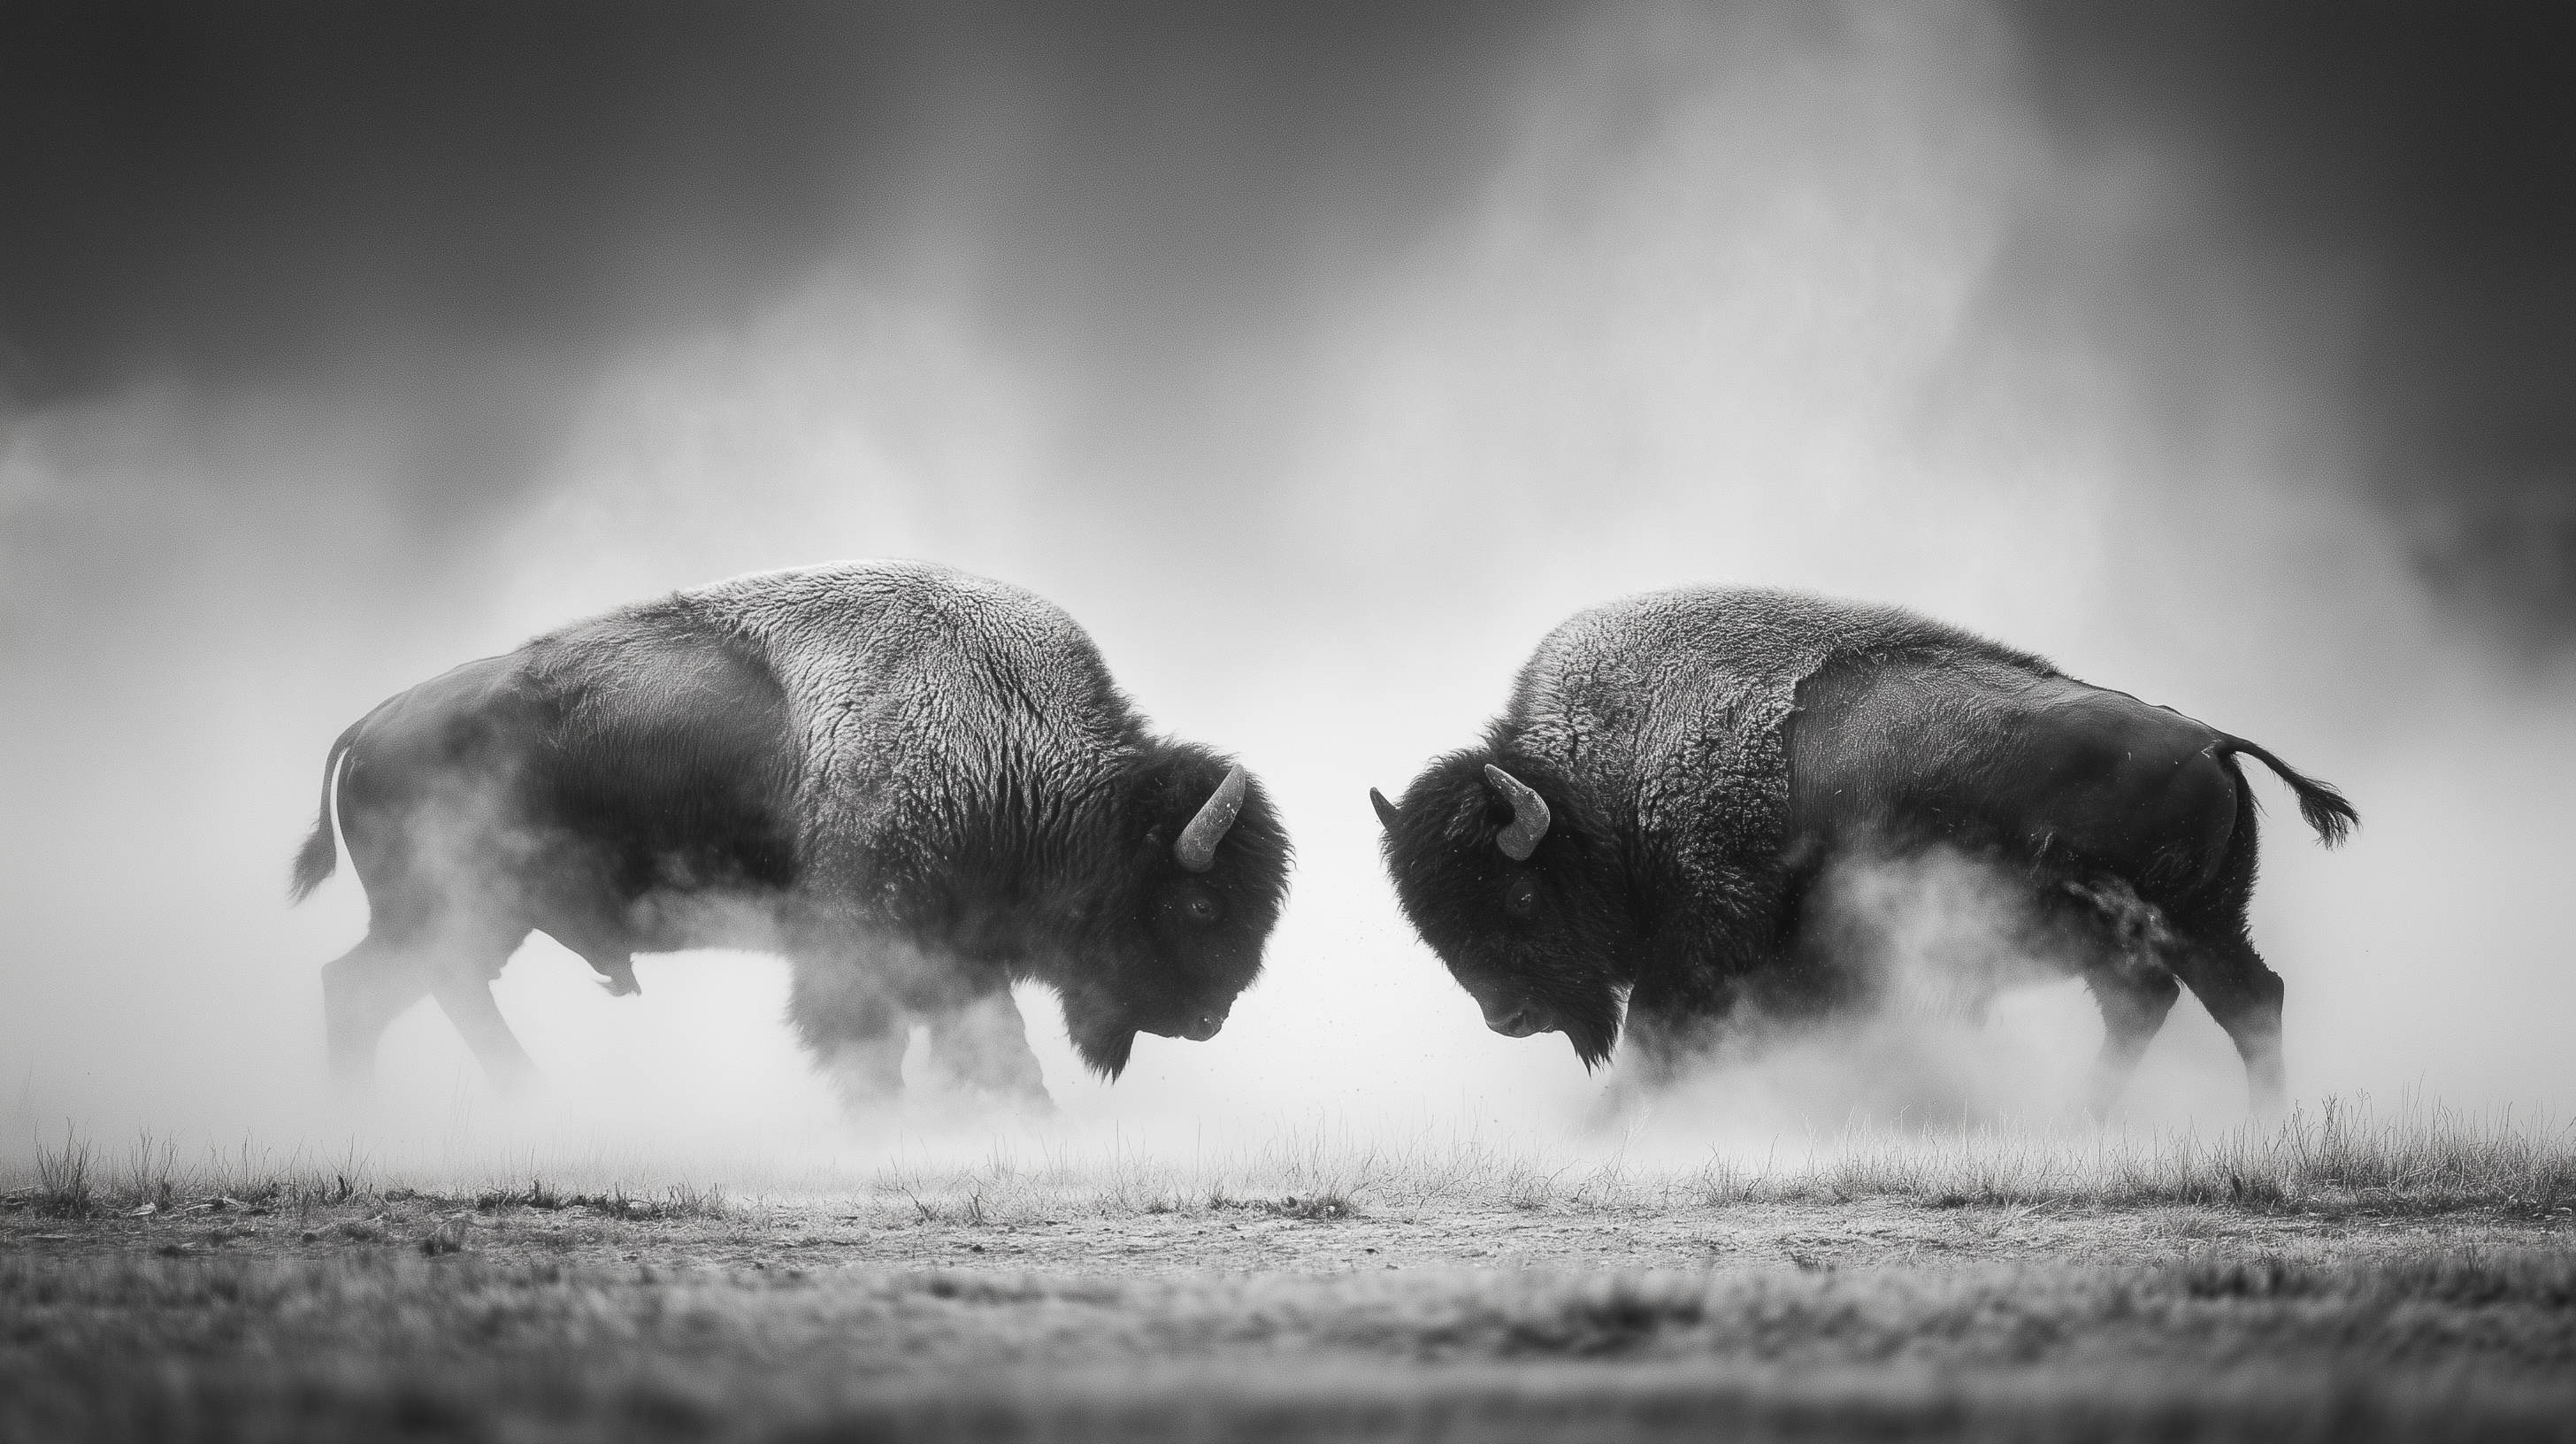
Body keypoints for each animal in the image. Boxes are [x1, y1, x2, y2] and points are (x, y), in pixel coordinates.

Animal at [292, 560, 1290, 1107]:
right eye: (1201, 904)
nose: (1209, 1018)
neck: (1009, 741)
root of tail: (372, 723)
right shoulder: (866, 944)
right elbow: (879, 1046)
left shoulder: (958, 954)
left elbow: (990, 1053)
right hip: (451, 913)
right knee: (379, 991)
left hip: (475, 920)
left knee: (381, 991)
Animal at [1372, 588, 2354, 1116]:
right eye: (1430, 927)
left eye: (1519, 897)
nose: (1507, 1017)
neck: (1611, 786)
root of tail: (2209, 739)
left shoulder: (1702, 952)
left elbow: (1662, 1046)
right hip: (2189, 926)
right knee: (2223, 1002)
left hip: (2162, 926)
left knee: (2199, 1004)